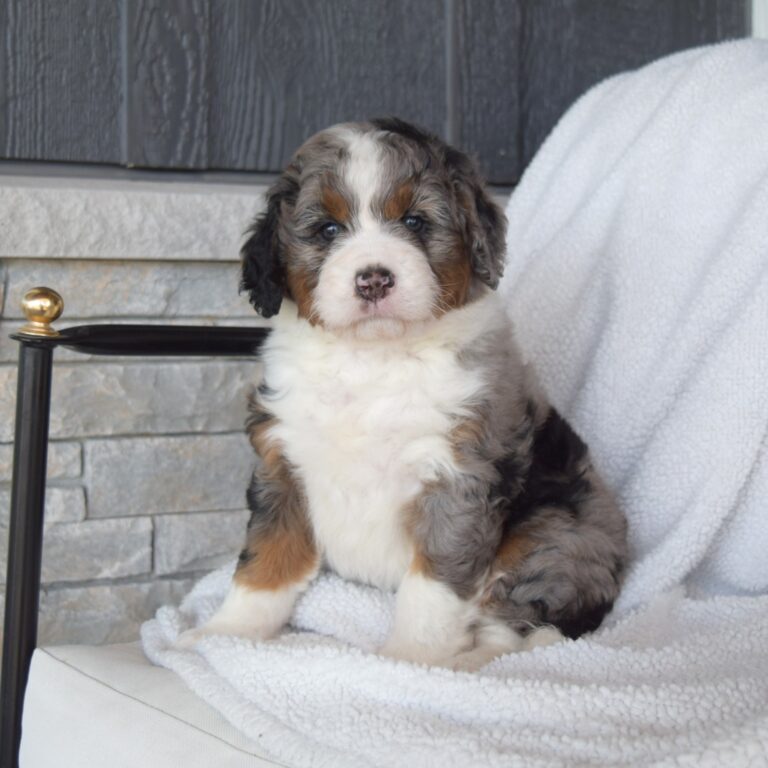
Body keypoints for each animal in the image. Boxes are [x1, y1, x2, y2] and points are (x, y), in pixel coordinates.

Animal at [181, 118, 628, 670]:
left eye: (415, 222)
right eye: (328, 230)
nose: (374, 279)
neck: (372, 361)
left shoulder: (458, 479)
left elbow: (433, 588)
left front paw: (410, 659)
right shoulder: (283, 464)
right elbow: (265, 561)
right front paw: (226, 633)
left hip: (553, 534)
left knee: (519, 624)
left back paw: (471, 662)